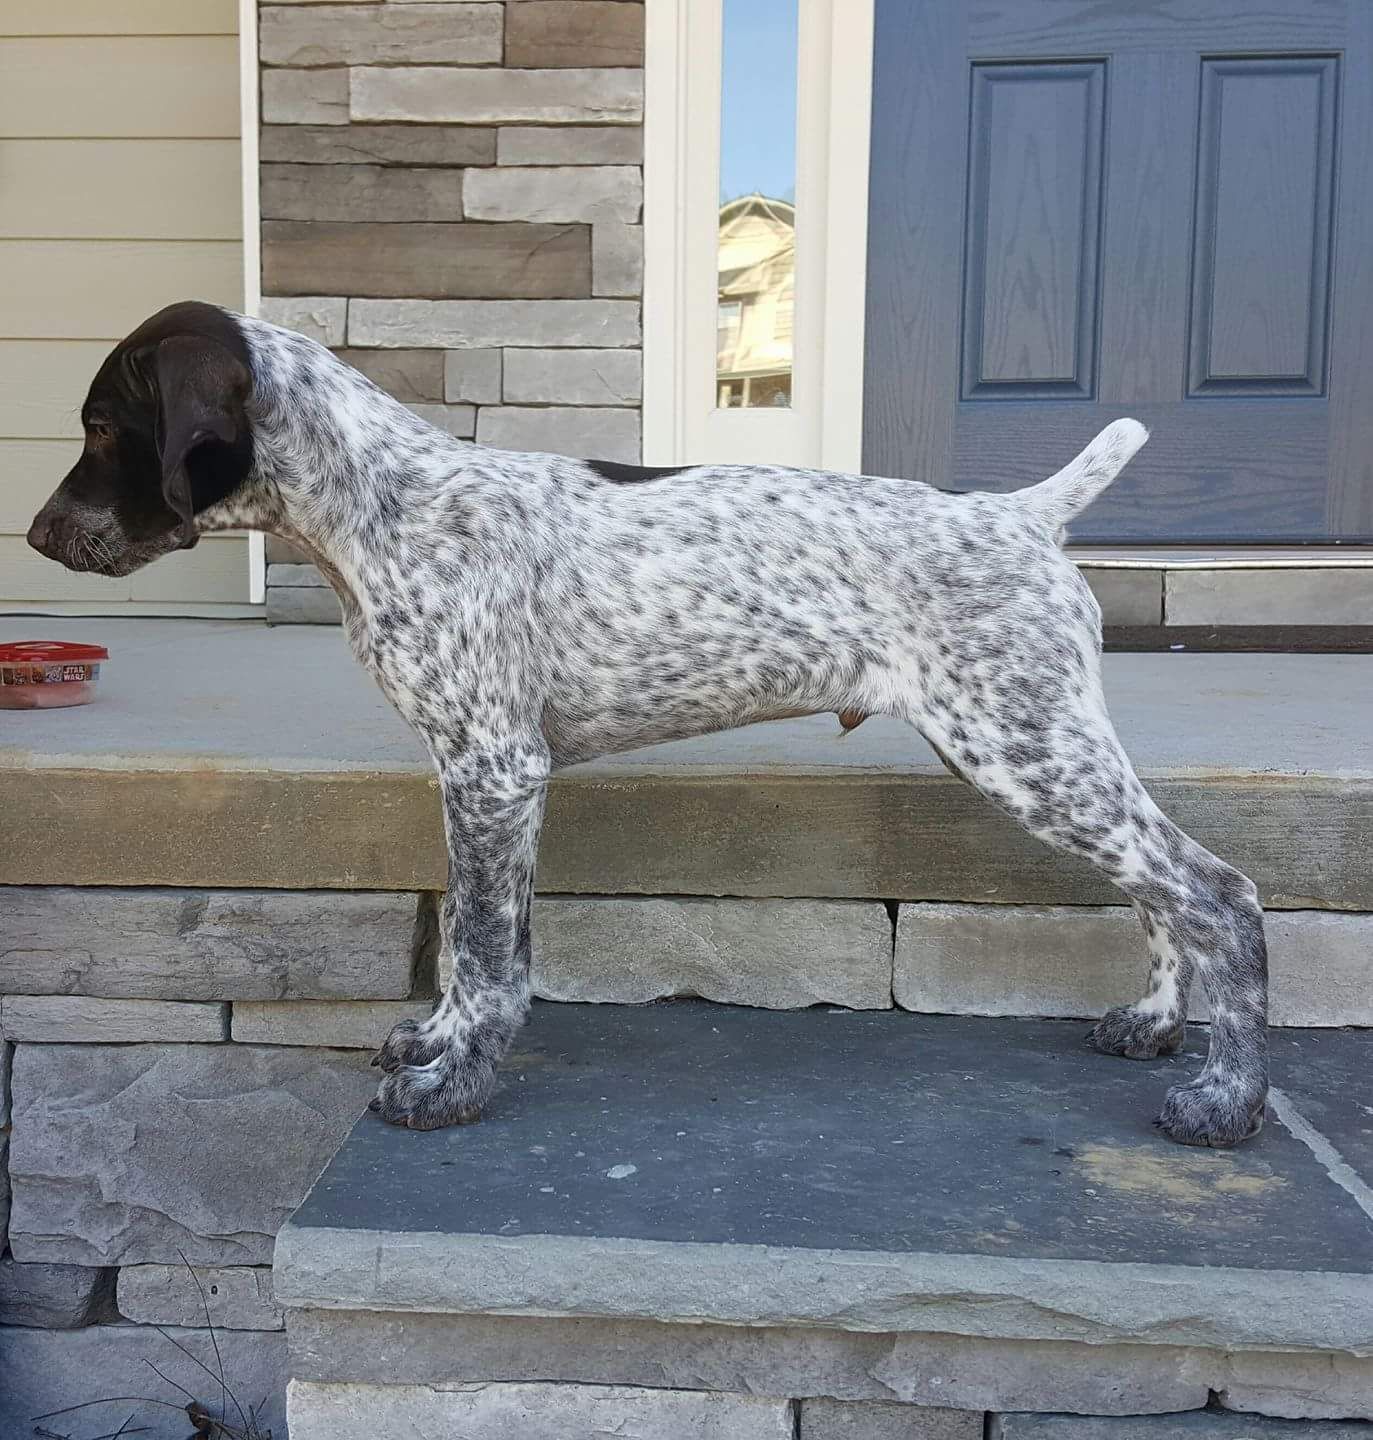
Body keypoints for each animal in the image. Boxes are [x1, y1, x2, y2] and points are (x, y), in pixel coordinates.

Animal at [27, 301, 1269, 1146]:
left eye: (102, 425)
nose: (37, 537)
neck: (382, 508)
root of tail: (1020, 517)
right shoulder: (472, 774)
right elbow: (477, 940)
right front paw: (438, 1042)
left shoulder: (494, 768)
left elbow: (489, 953)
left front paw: (453, 1082)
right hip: (1037, 748)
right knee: (1165, 889)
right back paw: (1154, 1023)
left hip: (1024, 748)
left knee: (1215, 893)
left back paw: (1223, 1100)